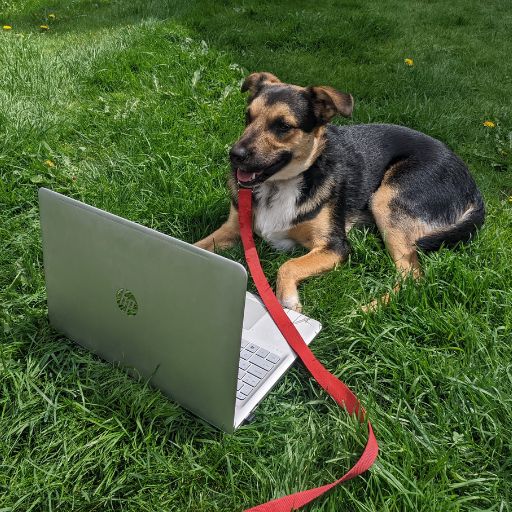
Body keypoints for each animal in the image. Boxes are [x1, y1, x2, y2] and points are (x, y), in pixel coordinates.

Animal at [194, 72, 486, 312]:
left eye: (283, 126)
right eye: (248, 116)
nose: (234, 155)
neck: (280, 184)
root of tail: (473, 187)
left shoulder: (335, 247)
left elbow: (288, 265)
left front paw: (288, 302)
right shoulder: (233, 229)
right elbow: (198, 246)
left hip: (387, 198)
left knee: (413, 277)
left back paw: (366, 309)